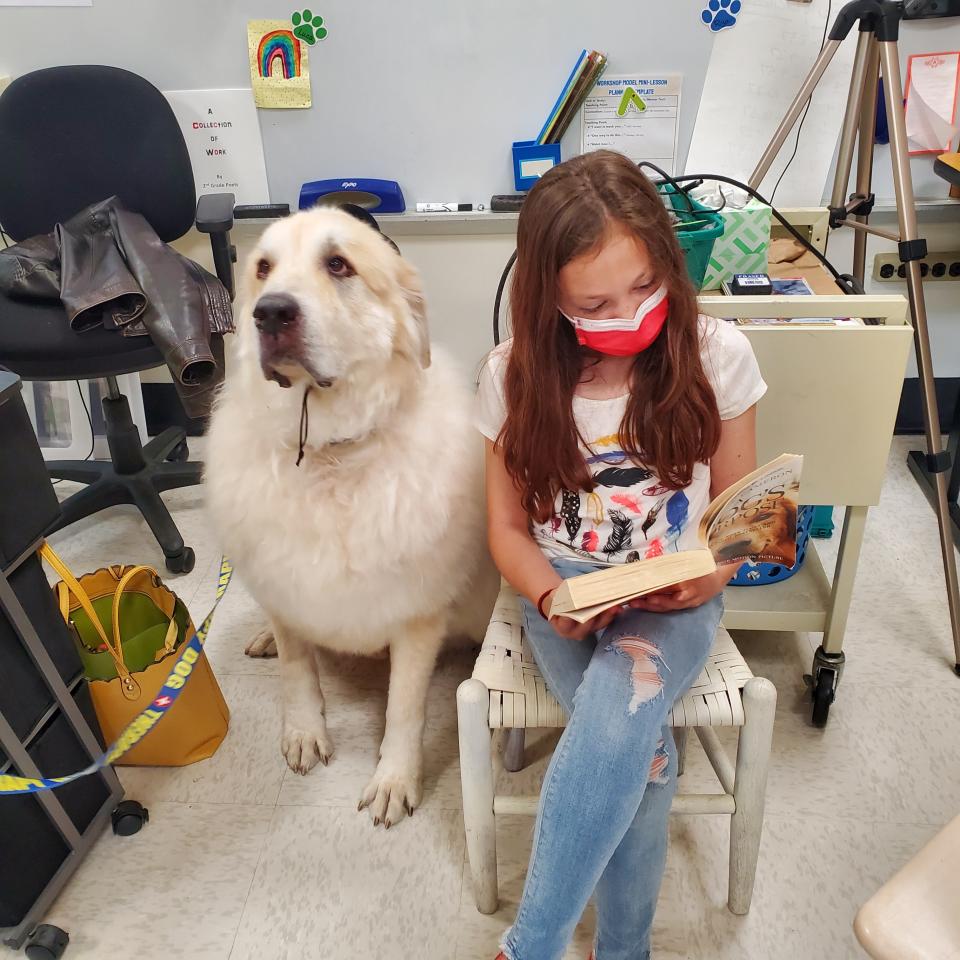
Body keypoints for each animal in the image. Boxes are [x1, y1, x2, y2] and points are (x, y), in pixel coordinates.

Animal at [207, 208, 498, 824]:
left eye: (338, 264)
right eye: (263, 269)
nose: (271, 312)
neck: (330, 452)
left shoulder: (416, 616)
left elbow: (403, 711)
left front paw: (394, 779)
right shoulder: (285, 588)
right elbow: (298, 671)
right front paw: (304, 733)